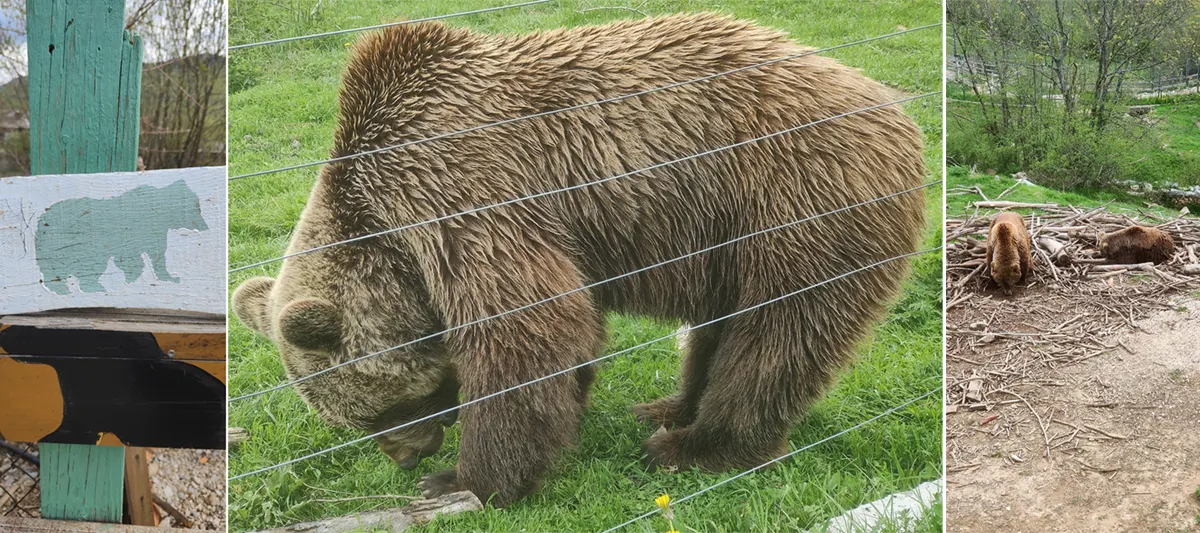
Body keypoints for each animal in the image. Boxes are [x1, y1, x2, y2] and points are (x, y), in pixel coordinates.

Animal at [232, 13, 927, 507]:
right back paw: (671, 406)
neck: (387, 234)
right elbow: (573, 324)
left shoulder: (461, 194)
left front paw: (463, 479)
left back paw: (694, 445)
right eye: (353, 421)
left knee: (778, 333)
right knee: (722, 324)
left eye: (381, 411)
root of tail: (893, 107)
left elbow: (527, 331)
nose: (408, 458)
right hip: (732, 234)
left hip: (798, 202)